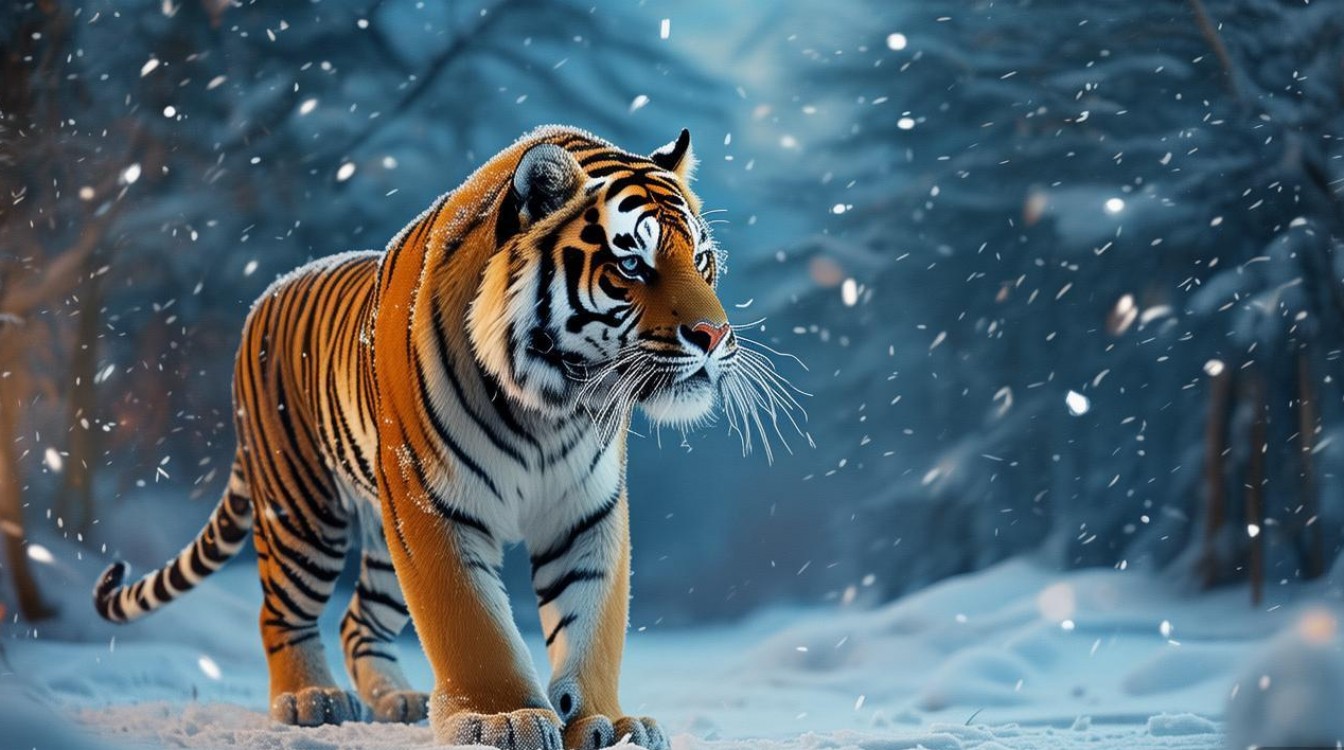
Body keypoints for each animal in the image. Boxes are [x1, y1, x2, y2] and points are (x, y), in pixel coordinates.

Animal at [92, 125, 799, 750]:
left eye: (703, 261)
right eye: (630, 264)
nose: (715, 336)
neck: (556, 403)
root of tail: (269, 292)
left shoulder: (586, 509)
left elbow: (593, 621)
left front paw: (606, 721)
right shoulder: (432, 504)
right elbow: (471, 622)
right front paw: (502, 719)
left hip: (380, 537)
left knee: (358, 618)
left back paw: (397, 699)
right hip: (302, 509)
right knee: (282, 609)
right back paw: (310, 700)